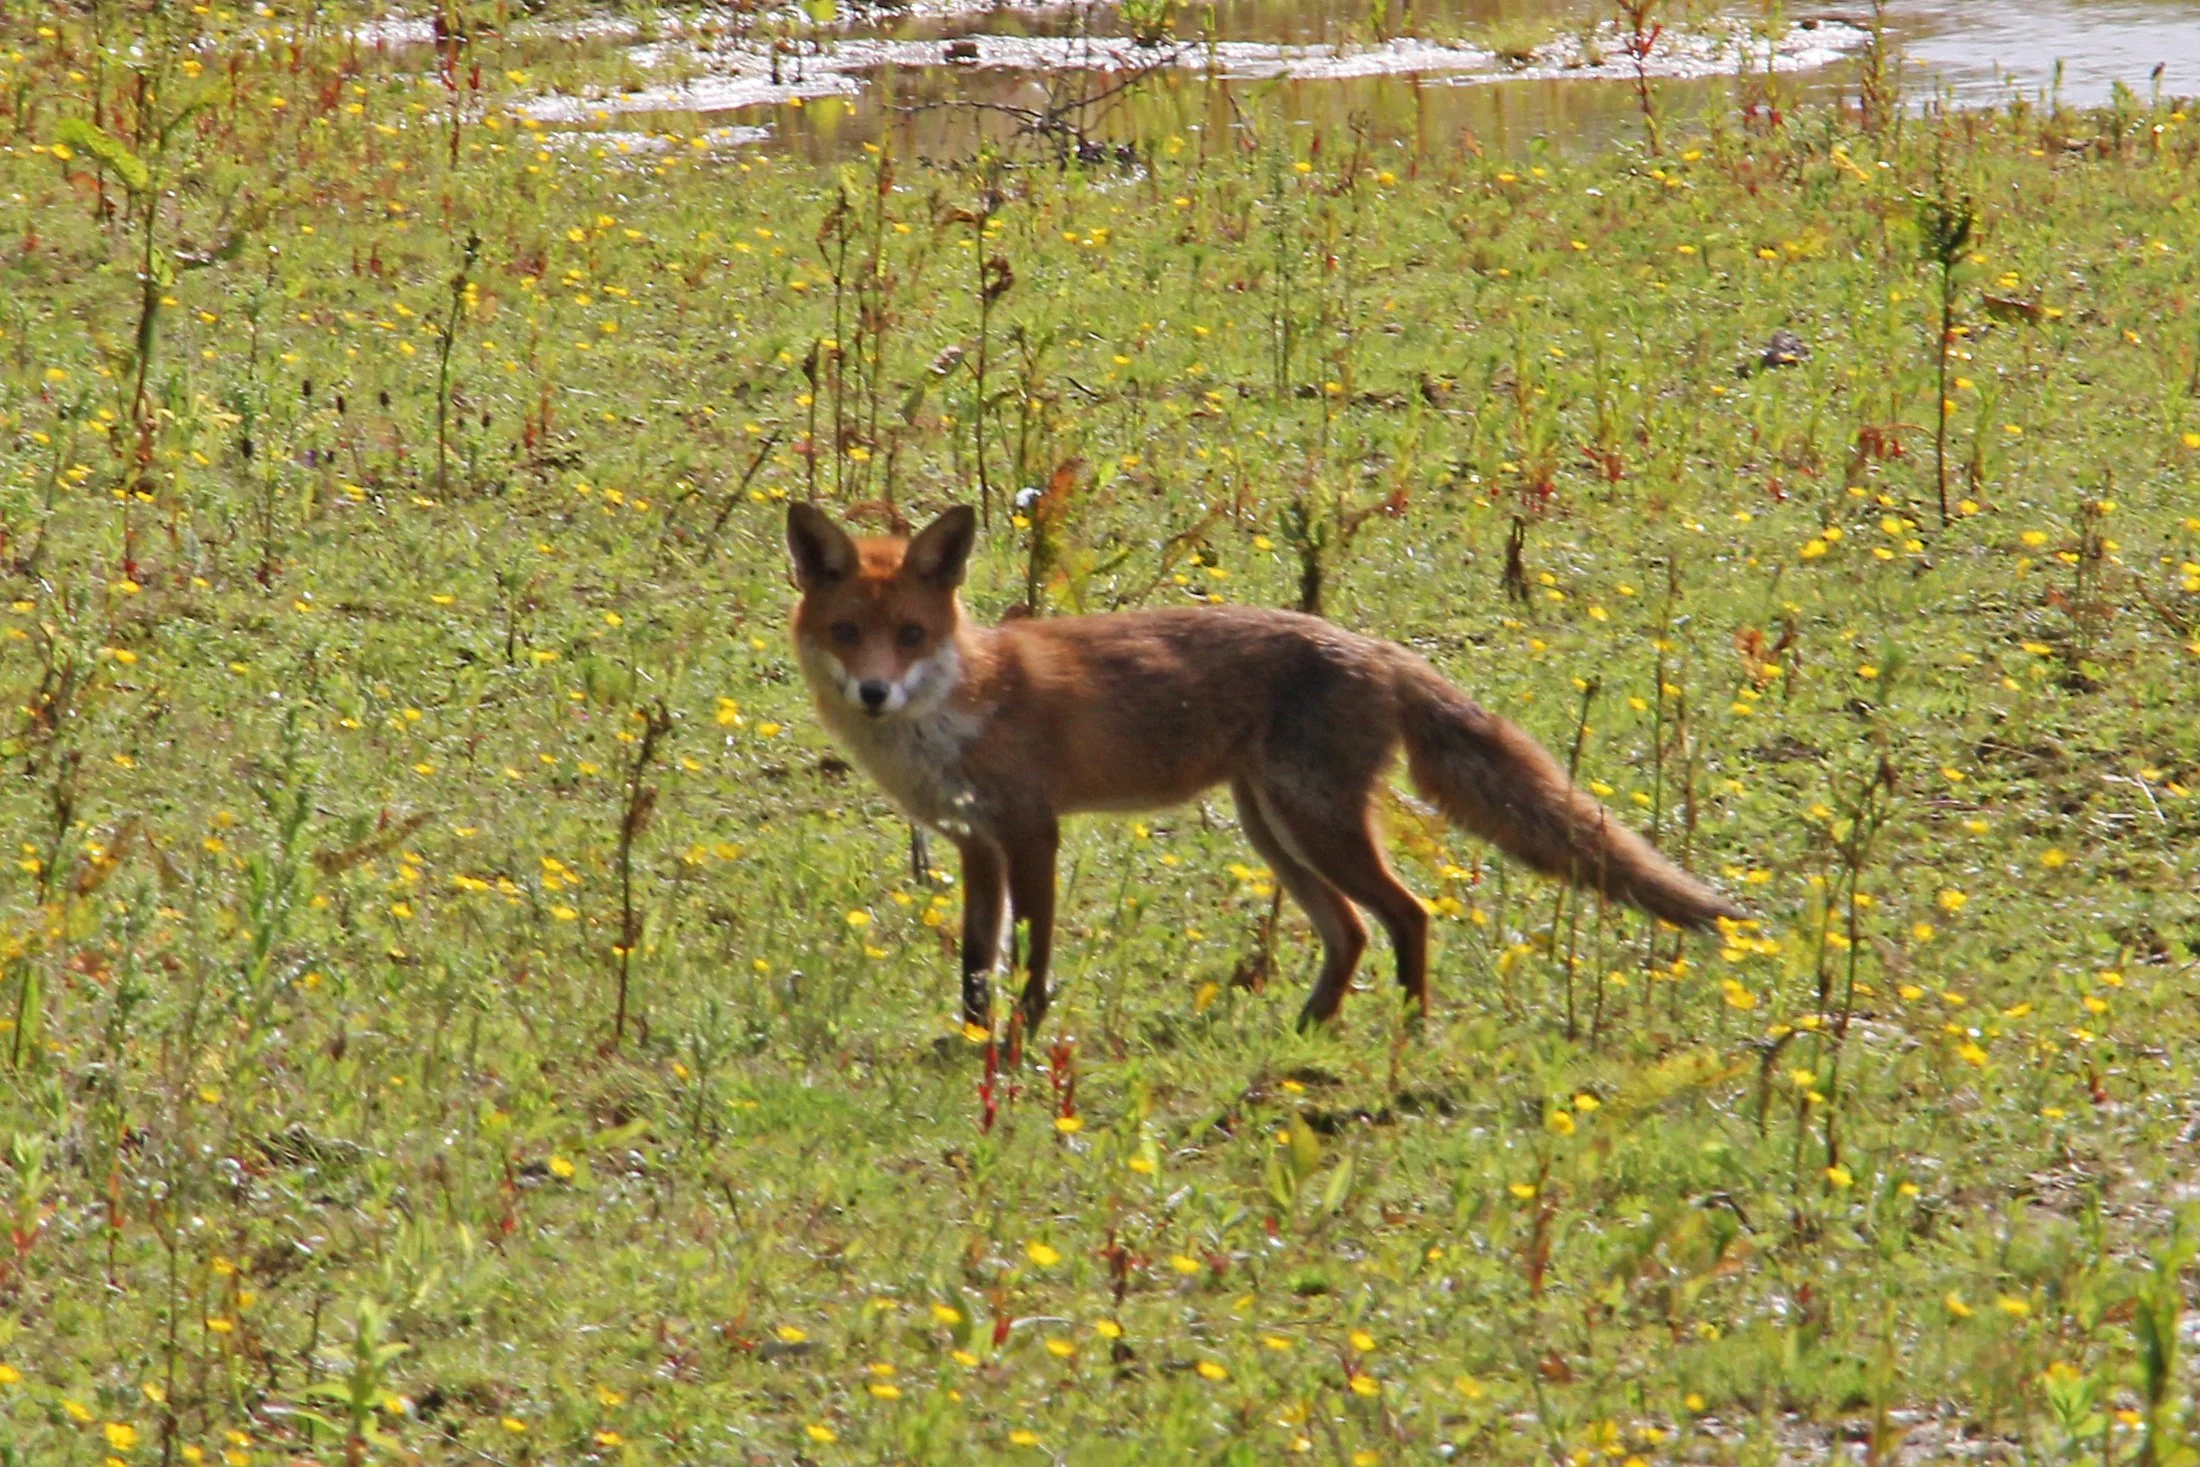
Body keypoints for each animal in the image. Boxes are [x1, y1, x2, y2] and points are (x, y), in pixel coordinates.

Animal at [786, 502, 1742, 1032]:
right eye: (848, 632)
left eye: (911, 633)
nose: (873, 691)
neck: (958, 703)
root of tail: (1375, 646)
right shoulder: (974, 845)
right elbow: (976, 964)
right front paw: (976, 1041)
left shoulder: (1030, 832)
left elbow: (1030, 958)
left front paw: (1018, 1044)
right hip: (1273, 827)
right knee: (1352, 932)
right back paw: (1305, 1031)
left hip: (1312, 822)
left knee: (1409, 916)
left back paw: (1406, 1032)